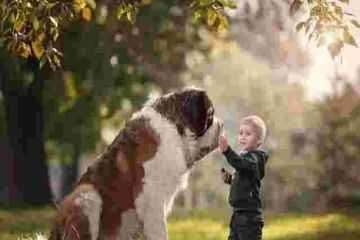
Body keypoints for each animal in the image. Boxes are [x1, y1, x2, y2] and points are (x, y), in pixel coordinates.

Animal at [47, 87, 222, 240]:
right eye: (210, 115)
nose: (221, 124)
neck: (174, 127)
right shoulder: (150, 197)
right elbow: (159, 231)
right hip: (86, 194)